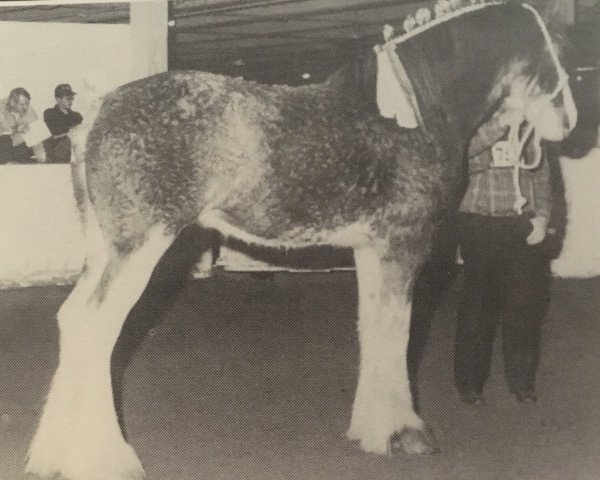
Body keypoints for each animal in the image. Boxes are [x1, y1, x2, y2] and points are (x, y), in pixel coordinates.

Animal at [27, 1, 576, 478]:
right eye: (552, 43)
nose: (568, 121)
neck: (418, 112)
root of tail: (98, 112)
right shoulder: (403, 246)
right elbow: (397, 333)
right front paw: (404, 432)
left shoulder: (371, 250)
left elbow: (372, 329)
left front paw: (369, 429)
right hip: (141, 247)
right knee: (97, 329)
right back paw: (107, 459)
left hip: (104, 251)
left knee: (71, 321)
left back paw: (52, 455)